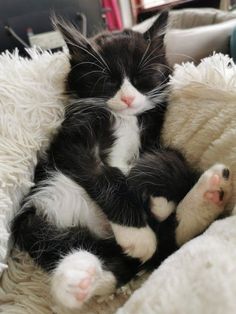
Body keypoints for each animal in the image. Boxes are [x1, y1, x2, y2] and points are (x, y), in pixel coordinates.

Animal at [10, 11, 231, 310]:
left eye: (142, 77)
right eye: (107, 81)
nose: (127, 98)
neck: (124, 119)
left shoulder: (153, 133)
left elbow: (171, 159)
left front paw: (156, 197)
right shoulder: (69, 143)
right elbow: (104, 173)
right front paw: (137, 232)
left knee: (158, 244)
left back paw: (208, 195)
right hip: (34, 220)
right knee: (95, 252)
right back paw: (78, 279)